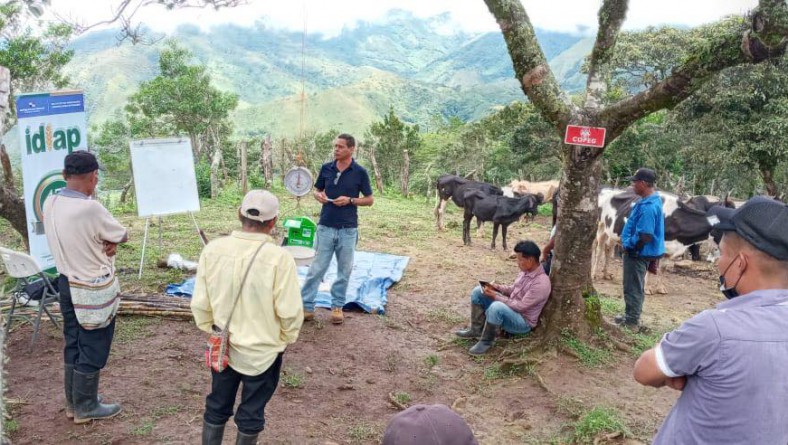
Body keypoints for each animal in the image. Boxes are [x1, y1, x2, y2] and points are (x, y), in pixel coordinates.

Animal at [596, 188, 736, 294]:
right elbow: (649, 268)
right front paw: (647, 288)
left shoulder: (669, 248)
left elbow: (663, 268)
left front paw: (660, 288)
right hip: (600, 227)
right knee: (598, 249)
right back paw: (594, 274)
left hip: (613, 233)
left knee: (608, 248)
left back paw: (606, 274)